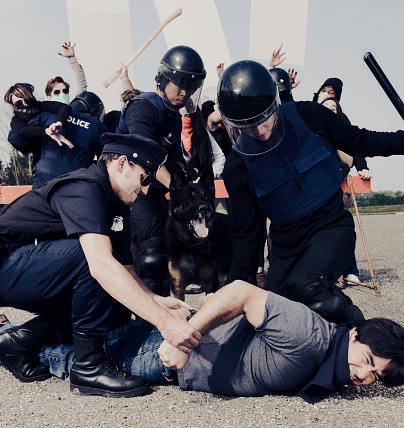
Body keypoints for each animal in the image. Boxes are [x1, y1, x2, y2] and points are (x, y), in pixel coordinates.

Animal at [165, 164, 221, 300]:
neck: (193, 247)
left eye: (206, 197)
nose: (205, 208)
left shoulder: (211, 285)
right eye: (188, 198)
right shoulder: (177, 288)